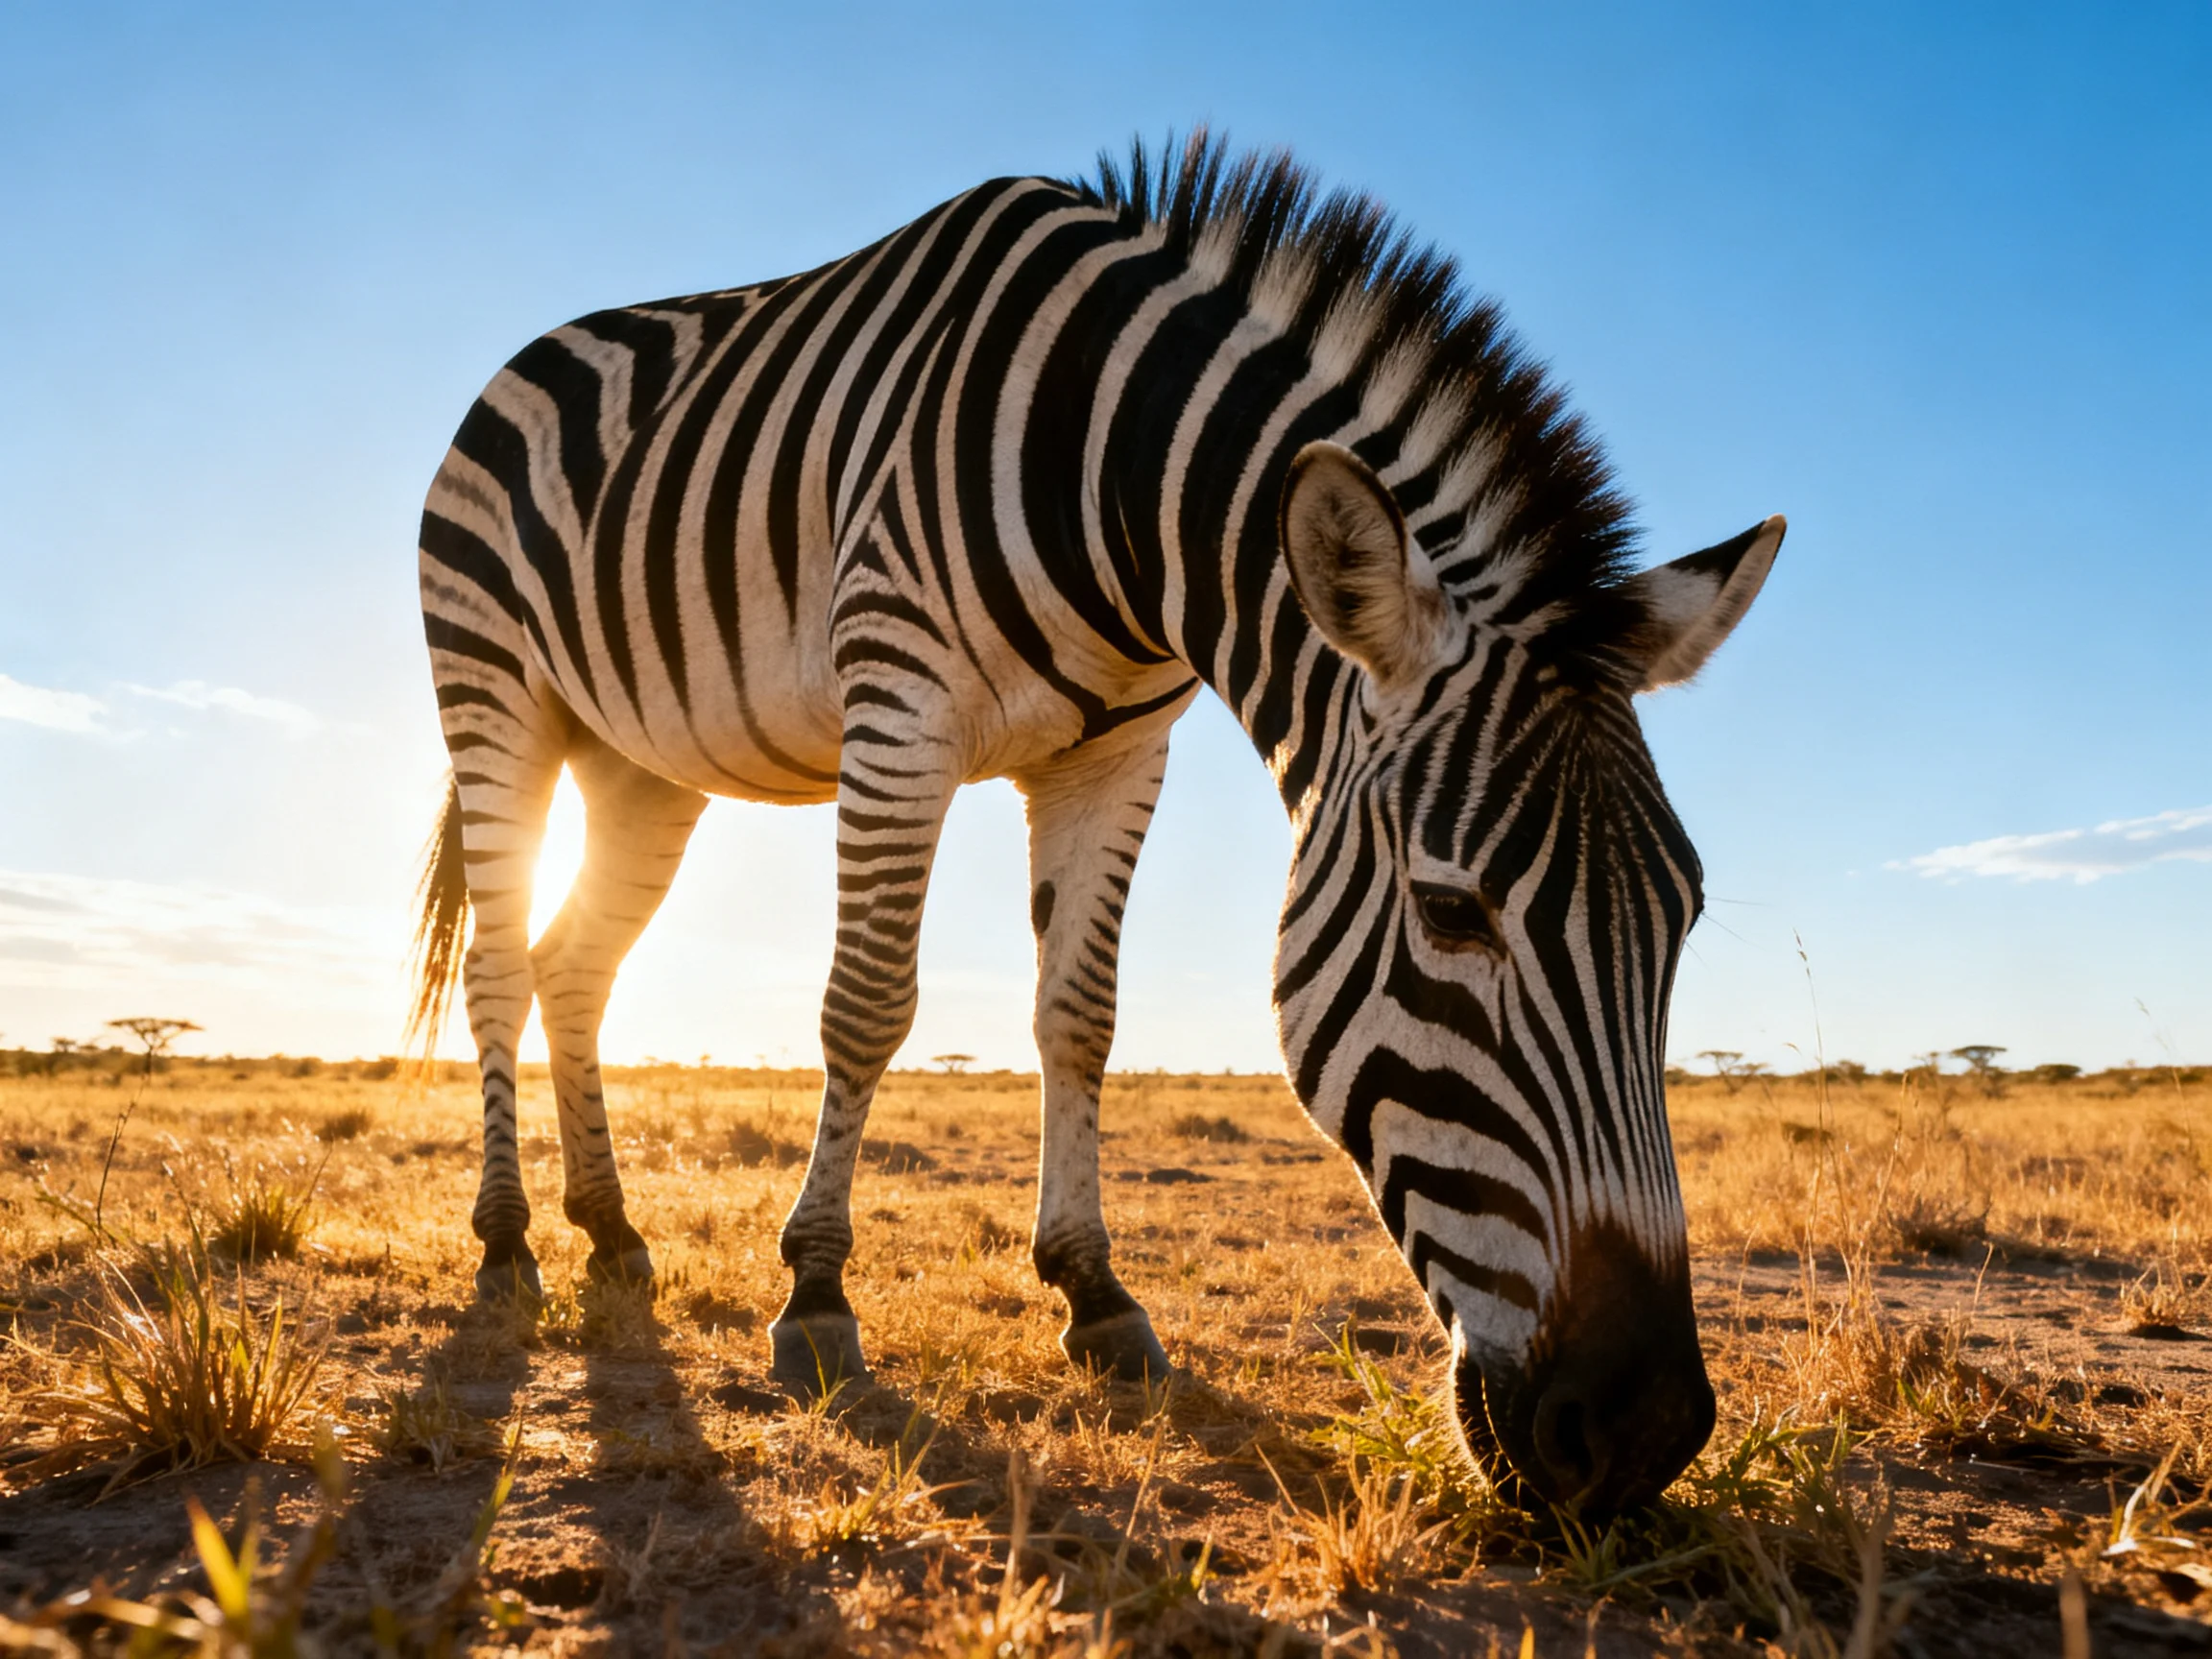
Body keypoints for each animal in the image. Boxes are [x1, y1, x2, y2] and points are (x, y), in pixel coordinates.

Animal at [407, 134, 1782, 1515]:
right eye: (1451, 912)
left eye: (1682, 920)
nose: (1644, 1427)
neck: (1119, 485)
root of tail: (529, 353)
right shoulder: (899, 698)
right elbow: (868, 1003)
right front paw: (816, 1294)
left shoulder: (1117, 752)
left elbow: (1079, 1018)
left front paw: (1092, 1290)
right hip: (497, 692)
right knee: (499, 968)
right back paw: (509, 1242)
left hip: (643, 760)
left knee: (574, 966)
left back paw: (609, 1229)